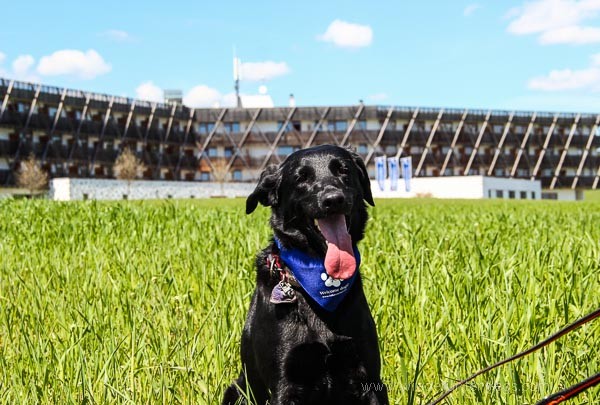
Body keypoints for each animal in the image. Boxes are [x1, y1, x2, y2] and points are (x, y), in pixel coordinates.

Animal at [223, 144, 386, 402]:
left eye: (344, 170)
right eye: (301, 178)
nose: (333, 200)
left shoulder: (370, 380)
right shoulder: (285, 386)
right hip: (238, 389)